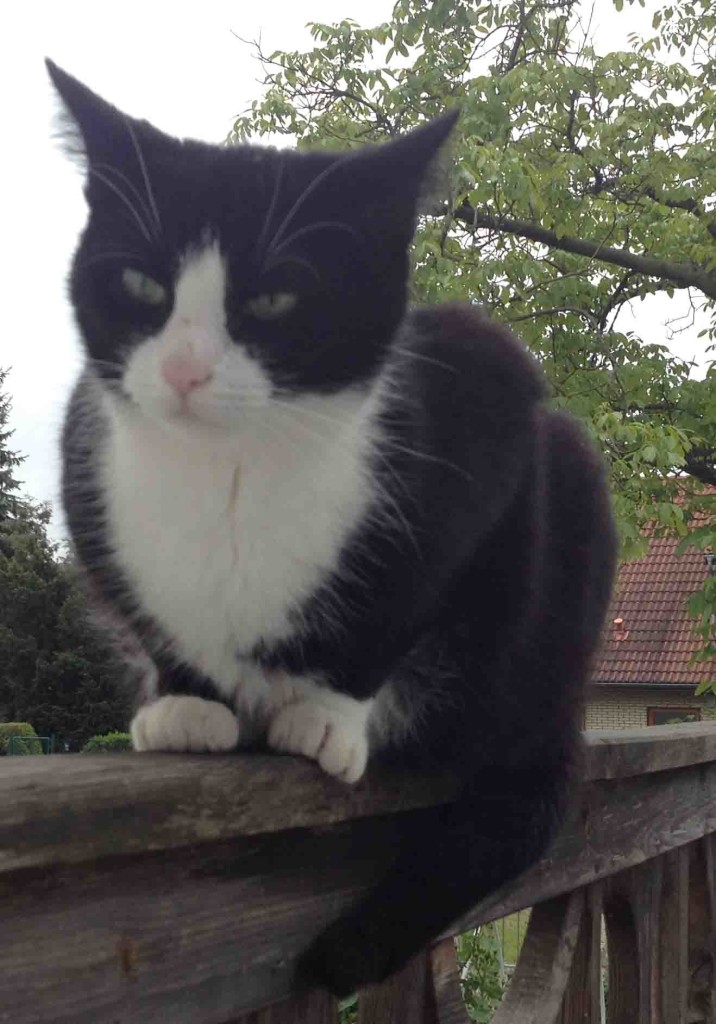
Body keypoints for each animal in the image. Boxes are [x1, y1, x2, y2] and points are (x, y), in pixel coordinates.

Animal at [47, 59, 618, 995]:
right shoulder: (81, 460)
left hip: (569, 524)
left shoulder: (487, 398)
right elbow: (155, 623)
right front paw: (185, 702)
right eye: (140, 286)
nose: (183, 370)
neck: (230, 469)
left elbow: (402, 607)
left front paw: (325, 714)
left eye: (276, 296)